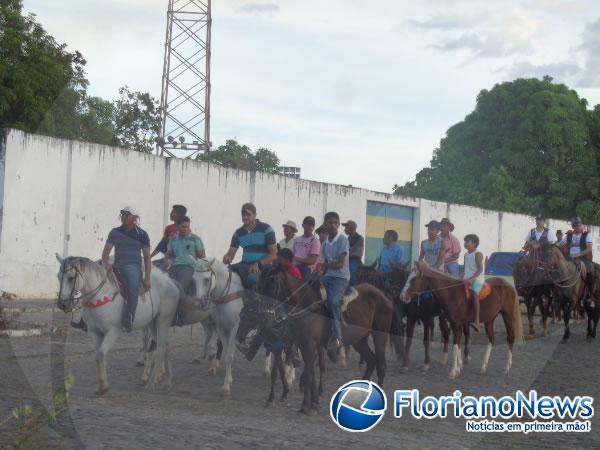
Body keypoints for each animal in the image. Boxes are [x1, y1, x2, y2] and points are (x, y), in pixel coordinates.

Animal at [56, 256, 189, 394]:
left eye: (71, 278)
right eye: (58, 276)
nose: (62, 304)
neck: (100, 297)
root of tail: (171, 282)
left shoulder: (113, 331)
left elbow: (101, 354)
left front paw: (104, 386)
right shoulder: (94, 332)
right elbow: (98, 356)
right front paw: (102, 386)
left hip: (163, 320)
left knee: (161, 348)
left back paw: (151, 384)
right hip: (153, 323)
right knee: (165, 346)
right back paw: (168, 381)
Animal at [189, 258, 243, 396]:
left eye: (207, 279)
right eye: (194, 279)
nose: (200, 303)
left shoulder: (235, 328)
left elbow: (229, 356)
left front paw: (226, 387)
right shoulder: (221, 328)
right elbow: (226, 352)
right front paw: (229, 379)